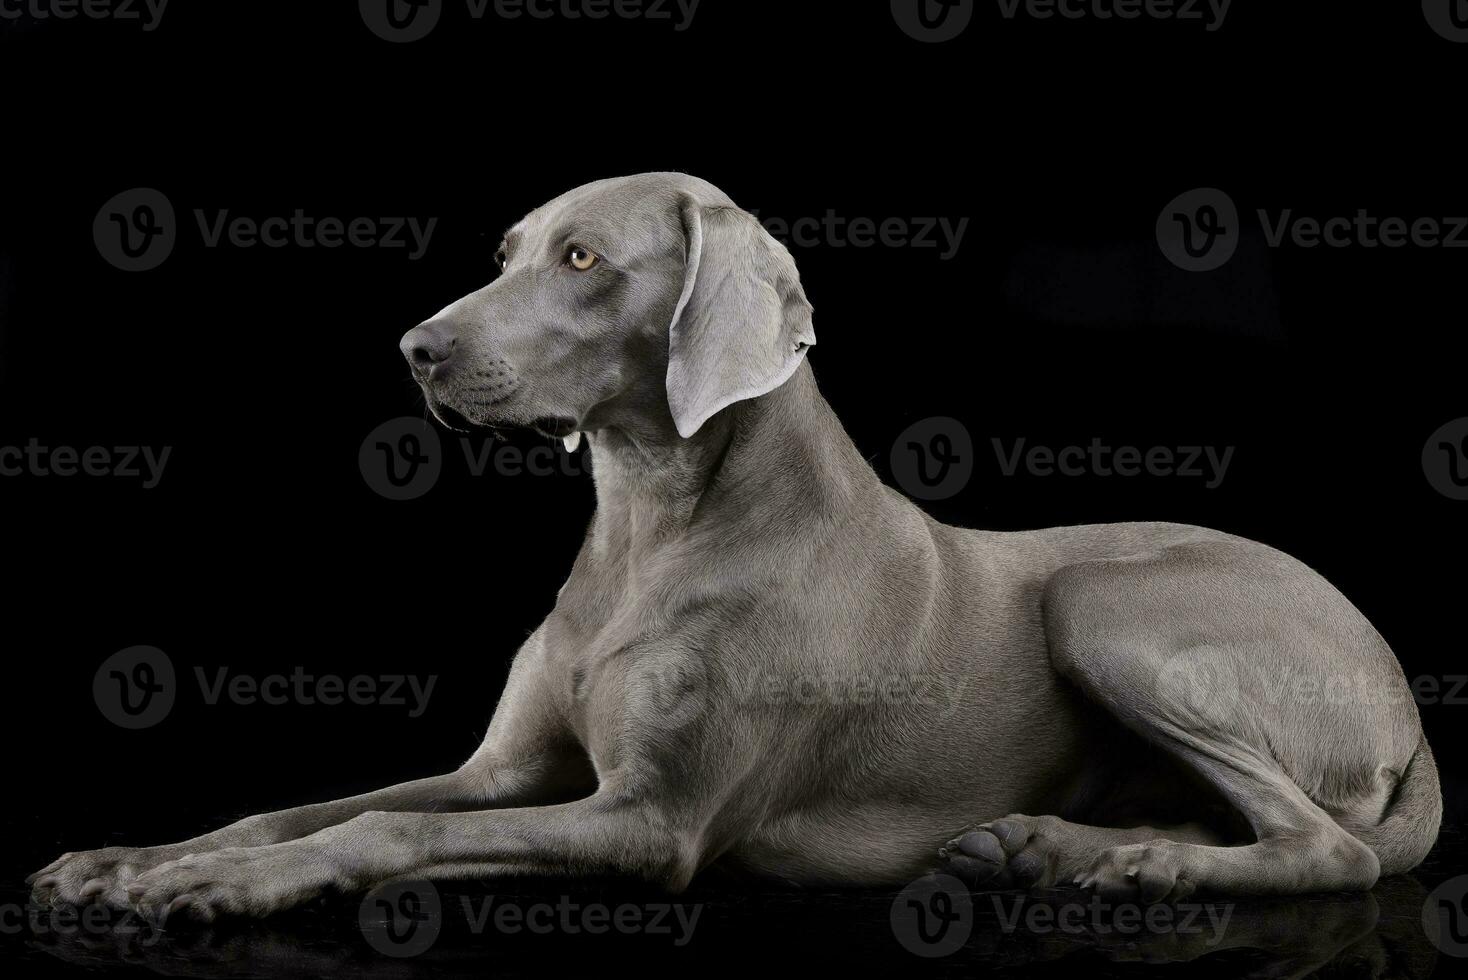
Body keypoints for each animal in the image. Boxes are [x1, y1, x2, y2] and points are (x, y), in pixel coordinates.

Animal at [28, 173, 1438, 921]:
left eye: (583, 256)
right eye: (509, 251)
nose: (414, 348)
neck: (648, 529)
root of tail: (1406, 704)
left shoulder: (652, 821)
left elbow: (380, 832)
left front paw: (206, 888)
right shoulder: (503, 773)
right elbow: (308, 804)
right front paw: (134, 859)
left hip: (1100, 600)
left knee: (1331, 846)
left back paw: (1119, 859)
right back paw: (1052, 845)